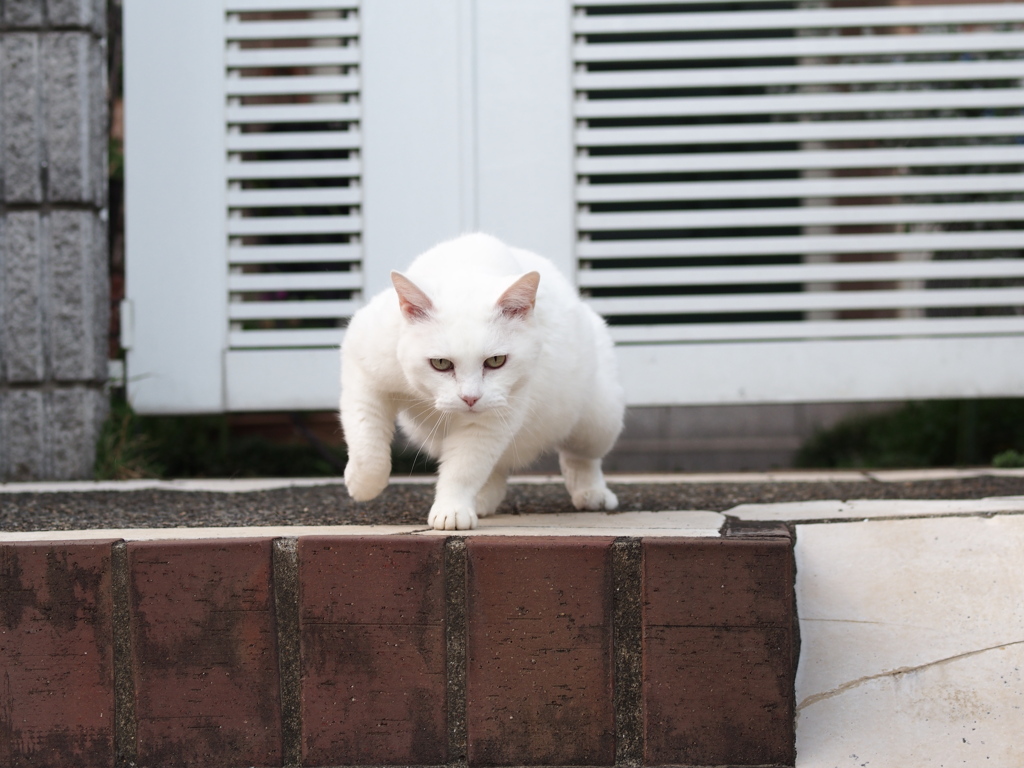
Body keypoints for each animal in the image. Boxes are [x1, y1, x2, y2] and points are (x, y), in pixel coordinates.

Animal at [339, 233, 622, 528]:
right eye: (441, 364)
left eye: (496, 361)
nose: (470, 398)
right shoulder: (362, 372)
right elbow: (367, 444)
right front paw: (363, 485)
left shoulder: (488, 421)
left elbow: (463, 470)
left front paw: (451, 510)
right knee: (496, 471)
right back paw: (484, 502)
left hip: (598, 423)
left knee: (581, 459)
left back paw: (592, 494)